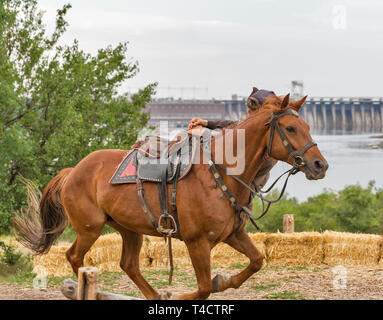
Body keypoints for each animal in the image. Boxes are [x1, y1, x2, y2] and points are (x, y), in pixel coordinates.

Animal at [13, 93, 328, 300]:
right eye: (290, 128)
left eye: (307, 127)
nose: (319, 165)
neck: (221, 172)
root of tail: (73, 171)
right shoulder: (197, 242)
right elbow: (203, 289)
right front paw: (183, 294)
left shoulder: (232, 234)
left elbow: (256, 261)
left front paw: (222, 280)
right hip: (90, 228)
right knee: (75, 256)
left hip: (129, 229)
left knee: (128, 264)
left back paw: (153, 295)